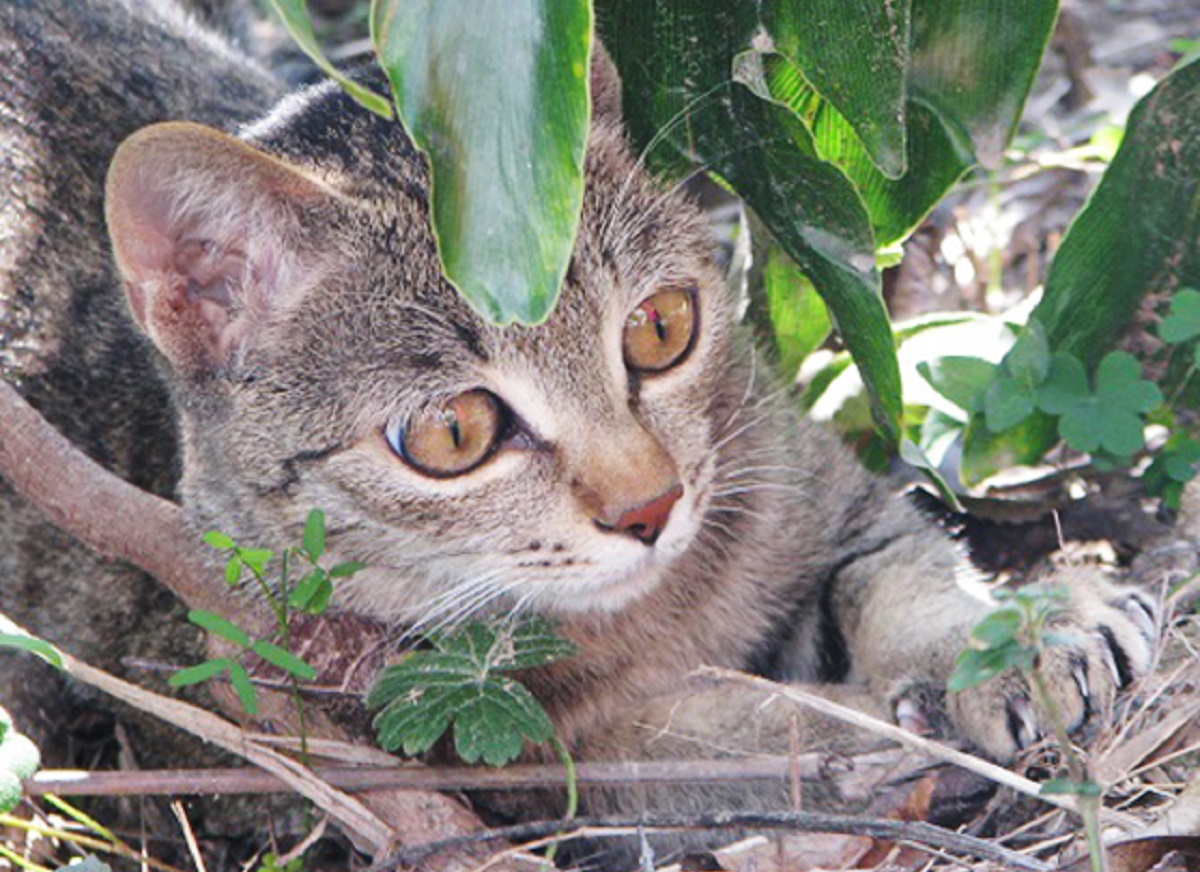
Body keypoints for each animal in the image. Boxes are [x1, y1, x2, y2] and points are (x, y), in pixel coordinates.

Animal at [0, 0, 1161, 863]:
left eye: (661, 328)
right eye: (454, 431)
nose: (651, 504)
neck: (664, 612)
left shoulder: (814, 481)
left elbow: (898, 561)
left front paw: (1011, 632)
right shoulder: (516, 759)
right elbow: (728, 734)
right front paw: (876, 723)